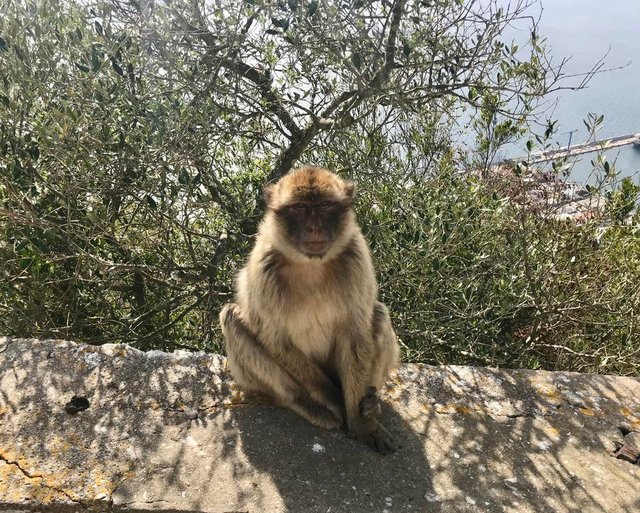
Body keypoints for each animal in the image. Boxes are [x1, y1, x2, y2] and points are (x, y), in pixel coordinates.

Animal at [220, 164, 400, 452]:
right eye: (300, 207)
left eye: (325, 205)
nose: (314, 227)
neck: (311, 265)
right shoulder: (263, 269)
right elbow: (276, 340)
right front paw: (336, 400)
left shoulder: (357, 260)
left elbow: (355, 333)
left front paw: (363, 425)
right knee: (232, 319)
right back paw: (305, 404)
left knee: (379, 315)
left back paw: (371, 403)